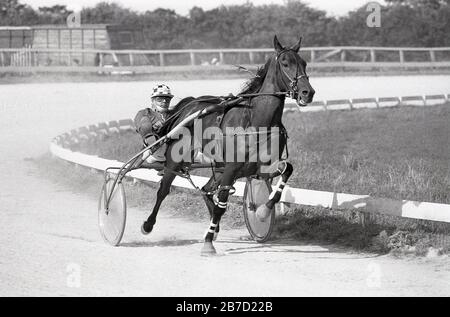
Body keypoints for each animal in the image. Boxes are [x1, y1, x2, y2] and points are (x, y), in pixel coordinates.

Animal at [142, 35, 314, 254]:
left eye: (304, 63)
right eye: (285, 63)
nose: (307, 92)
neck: (256, 120)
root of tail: (190, 105)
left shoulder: (260, 167)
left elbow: (286, 170)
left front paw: (262, 212)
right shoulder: (232, 168)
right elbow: (221, 203)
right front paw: (208, 242)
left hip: (220, 167)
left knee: (207, 188)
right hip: (178, 159)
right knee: (164, 190)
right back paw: (148, 224)